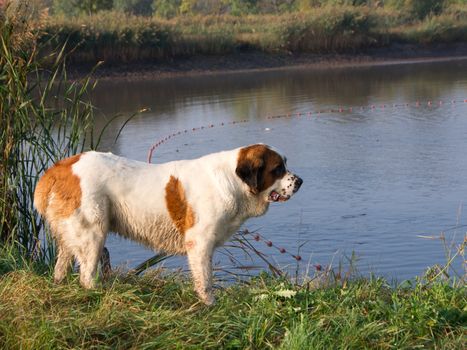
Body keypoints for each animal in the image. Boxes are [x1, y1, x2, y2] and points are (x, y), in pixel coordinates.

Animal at [33, 143, 304, 304]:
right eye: (278, 169)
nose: (300, 181)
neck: (232, 182)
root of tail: (61, 167)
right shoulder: (200, 243)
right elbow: (205, 280)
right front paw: (209, 306)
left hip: (72, 232)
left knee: (61, 266)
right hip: (92, 232)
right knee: (87, 275)